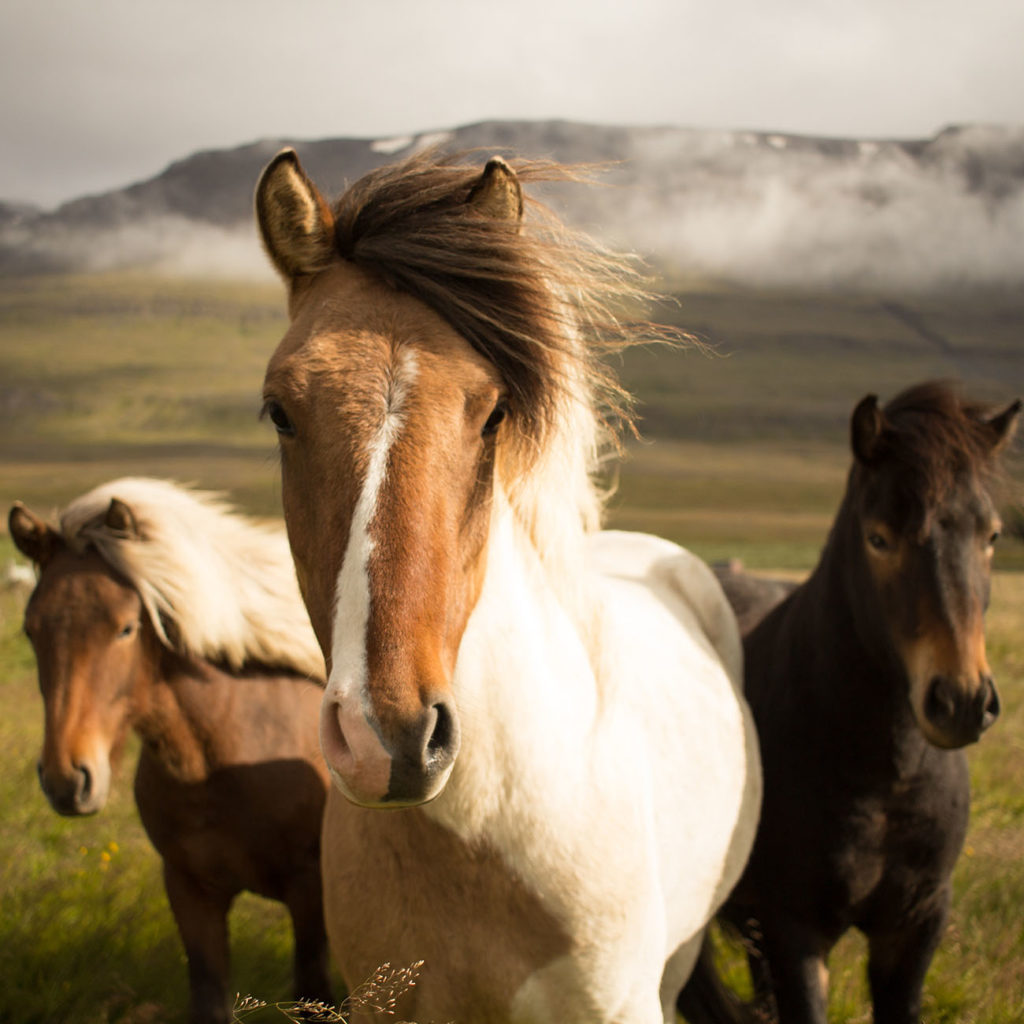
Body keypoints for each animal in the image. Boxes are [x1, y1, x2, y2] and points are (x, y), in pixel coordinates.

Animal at [9, 479, 333, 1024]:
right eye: (31, 629)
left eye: (125, 628)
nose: (66, 780)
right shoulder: (189, 891)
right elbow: (209, 997)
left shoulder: (310, 892)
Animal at [716, 380, 1019, 1019]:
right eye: (879, 538)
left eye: (992, 536)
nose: (961, 700)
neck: (887, 775)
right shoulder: (796, 929)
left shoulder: (914, 926)